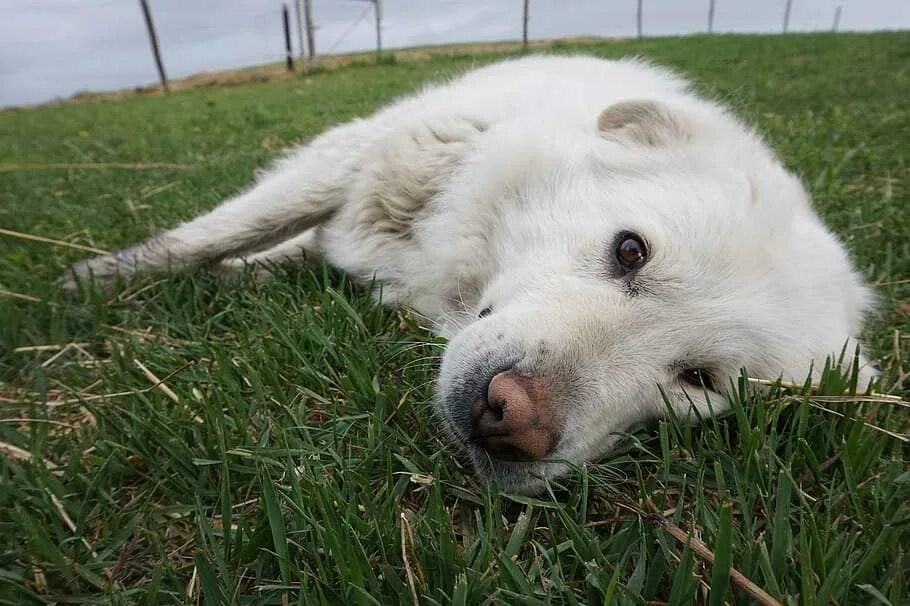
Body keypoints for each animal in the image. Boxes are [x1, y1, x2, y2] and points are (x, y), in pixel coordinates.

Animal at [64, 57, 876, 494]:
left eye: (699, 382)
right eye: (630, 251)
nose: (512, 421)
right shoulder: (362, 160)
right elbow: (212, 232)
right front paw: (97, 279)